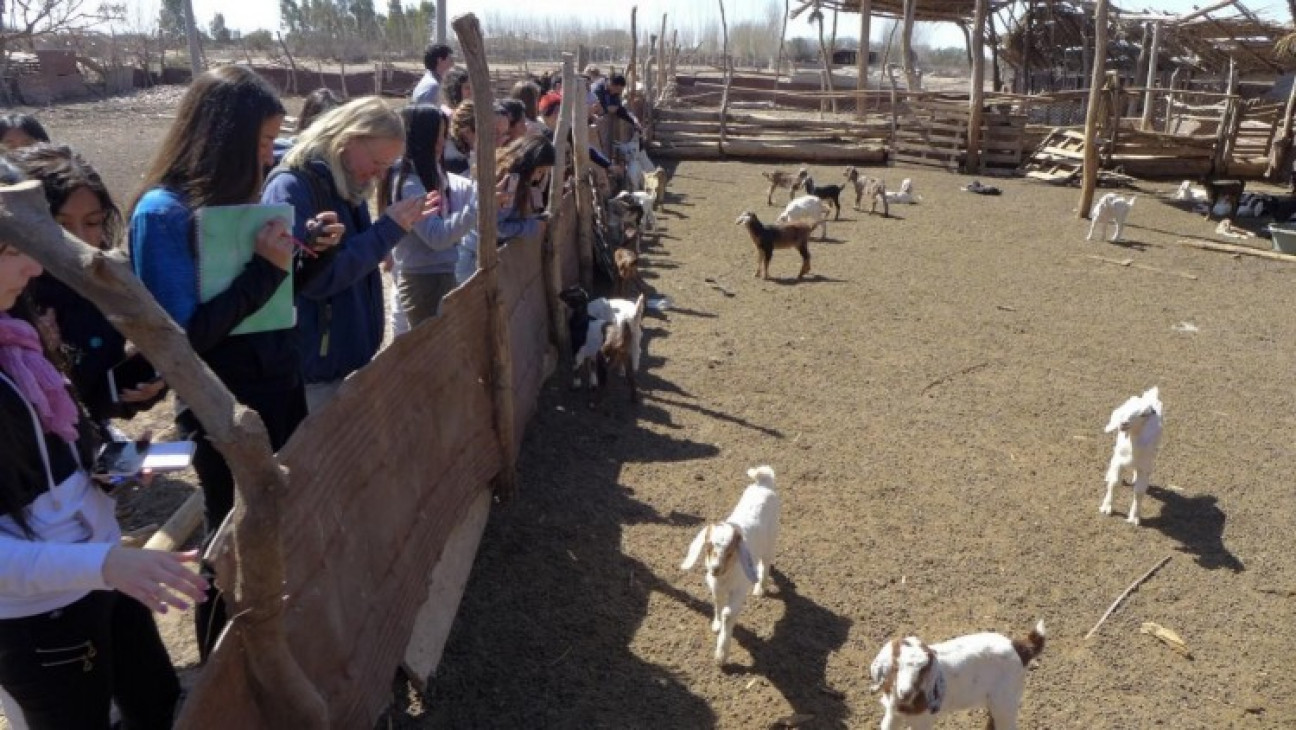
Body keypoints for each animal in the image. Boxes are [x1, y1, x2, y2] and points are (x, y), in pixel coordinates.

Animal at [679, 469, 777, 669]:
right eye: (708, 547)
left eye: (731, 552)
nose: (714, 569)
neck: (725, 576)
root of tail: (764, 482)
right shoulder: (715, 586)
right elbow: (718, 602)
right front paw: (716, 625)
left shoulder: (739, 589)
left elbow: (728, 613)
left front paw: (721, 654)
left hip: (771, 539)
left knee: (766, 563)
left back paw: (760, 588)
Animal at [865, 622, 1047, 730]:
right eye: (895, 666)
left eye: (924, 669)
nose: (906, 692)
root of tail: (1019, 647)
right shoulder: (892, 715)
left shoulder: (922, 722)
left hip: (1006, 700)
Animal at [1104, 388, 1166, 526]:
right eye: (1127, 409)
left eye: (1143, 415)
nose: (1123, 423)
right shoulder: (1118, 461)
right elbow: (1114, 482)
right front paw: (1106, 507)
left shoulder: (1145, 467)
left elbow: (1139, 491)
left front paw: (1134, 517)